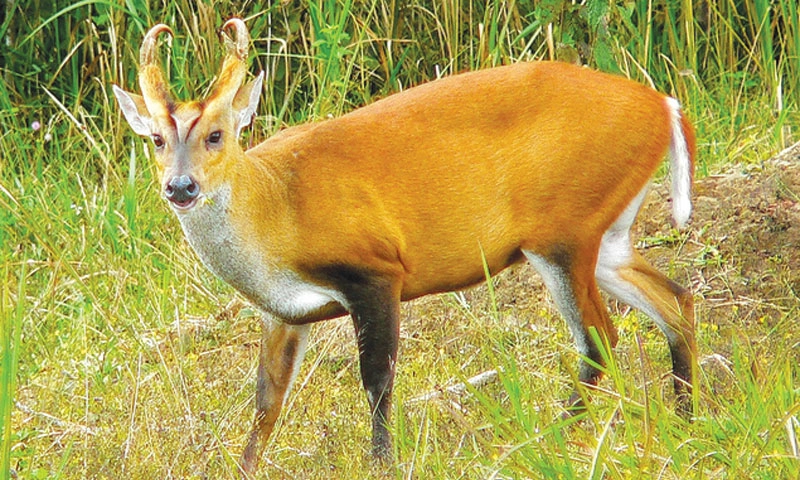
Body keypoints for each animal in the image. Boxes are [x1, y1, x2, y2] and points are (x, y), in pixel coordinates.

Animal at [113, 18, 697, 475]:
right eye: (157, 140)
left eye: (216, 135)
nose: (181, 187)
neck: (276, 208)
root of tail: (664, 105)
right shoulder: (283, 313)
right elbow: (265, 404)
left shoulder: (376, 270)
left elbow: (377, 379)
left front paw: (381, 462)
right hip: (606, 233)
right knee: (674, 299)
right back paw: (687, 418)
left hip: (563, 228)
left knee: (601, 338)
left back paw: (544, 440)